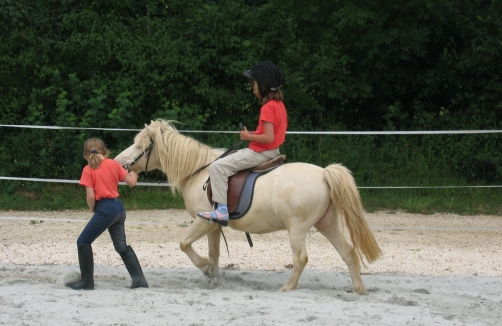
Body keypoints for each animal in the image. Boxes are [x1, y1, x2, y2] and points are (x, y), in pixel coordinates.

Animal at [115, 121, 382, 294]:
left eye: (139, 146)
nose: (118, 162)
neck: (199, 171)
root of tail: (324, 173)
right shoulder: (213, 227)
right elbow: (214, 253)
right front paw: (214, 277)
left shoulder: (203, 221)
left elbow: (184, 244)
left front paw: (205, 268)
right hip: (327, 224)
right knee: (347, 252)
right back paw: (359, 290)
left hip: (297, 229)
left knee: (301, 258)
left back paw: (287, 288)